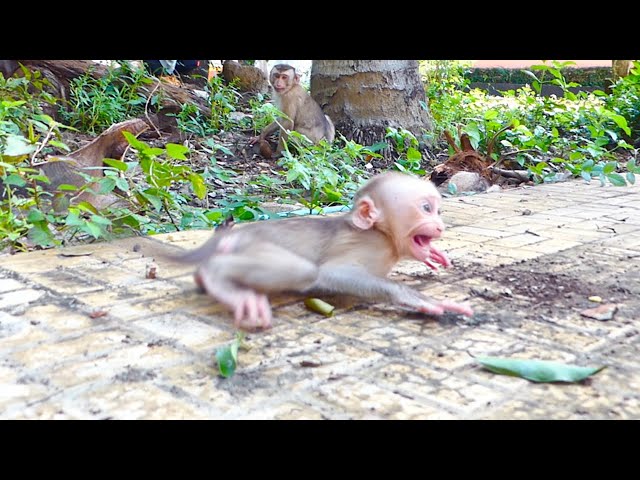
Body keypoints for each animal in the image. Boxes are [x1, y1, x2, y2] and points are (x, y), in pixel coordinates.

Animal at [172, 172, 472, 330]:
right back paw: (216, 276)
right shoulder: (368, 245)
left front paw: (434, 255)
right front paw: (418, 299)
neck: (385, 236)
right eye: (426, 208)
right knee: (303, 271)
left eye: (438, 210)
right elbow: (331, 273)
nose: (440, 226)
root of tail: (237, 235)